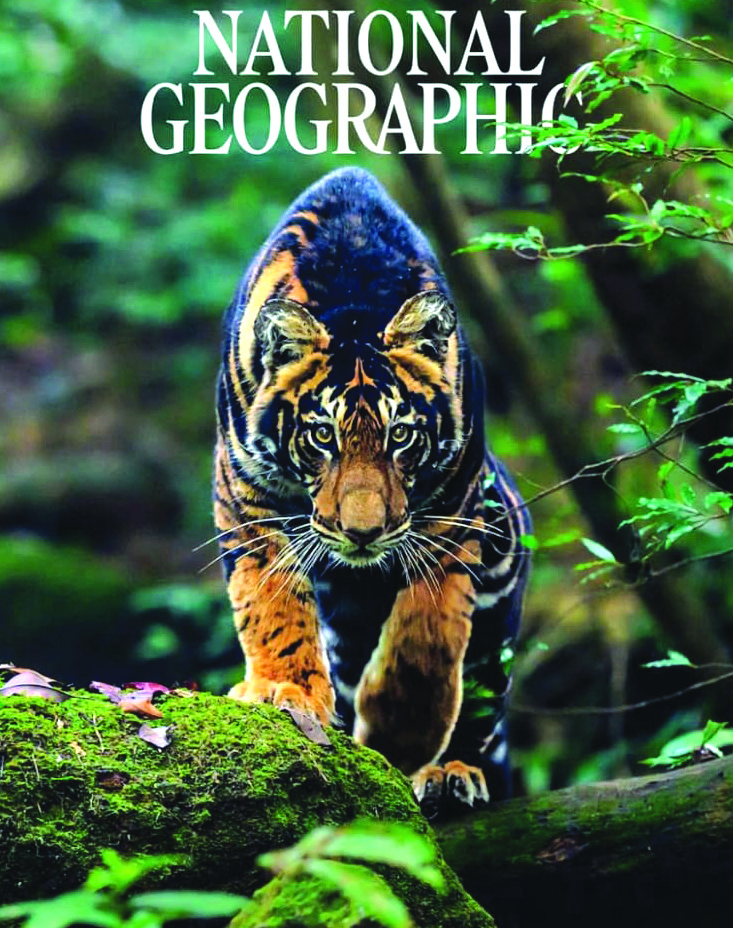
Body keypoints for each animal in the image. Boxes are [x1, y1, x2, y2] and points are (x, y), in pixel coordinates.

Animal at [214, 167, 531, 813]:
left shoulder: (454, 510)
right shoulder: (246, 496)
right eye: (322, 436)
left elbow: (428, 633)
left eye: (400, 435)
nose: (363, 533)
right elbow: (271, 604)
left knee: (482, 697)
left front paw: (401, 734)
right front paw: (284, 691)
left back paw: (452, 772)